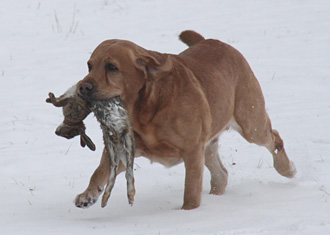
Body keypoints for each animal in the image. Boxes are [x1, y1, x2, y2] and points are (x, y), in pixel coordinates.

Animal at [75, 30, 296, 209]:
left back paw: (288, 169)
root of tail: (211, 41)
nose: (82, 87)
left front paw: (188, 213)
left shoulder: (192, 150)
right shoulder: (127, 149)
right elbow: (99, 171)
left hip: (250, 123)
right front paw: (87, 195)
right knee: (221, 174)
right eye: (89, 66)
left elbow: (191, 190)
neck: (145, 109)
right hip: (209, 143)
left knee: (274, 139)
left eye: (112, 67)